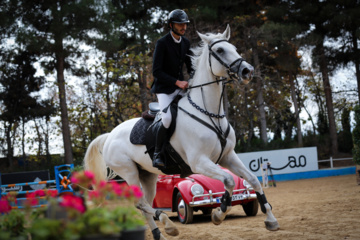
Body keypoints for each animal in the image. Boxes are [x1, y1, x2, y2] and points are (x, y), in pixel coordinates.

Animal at [83, 25, 278, 239]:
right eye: (220, 51)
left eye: (234, 48)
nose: (247, 71)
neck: (208, 112)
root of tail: (109, 136)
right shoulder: (199, 161)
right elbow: (228, 181)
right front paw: (218, 214)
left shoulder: (227, 156)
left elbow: (252, 180)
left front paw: (270, 219)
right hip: (129, 172)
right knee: (140, 203)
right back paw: (168, 223)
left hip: (148, 175)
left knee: (145, 204)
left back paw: (160, 232)